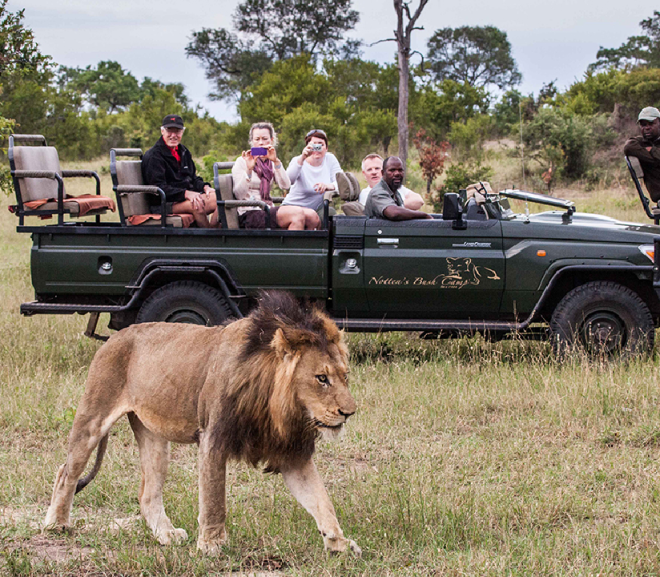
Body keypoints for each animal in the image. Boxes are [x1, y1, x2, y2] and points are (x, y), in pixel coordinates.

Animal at [43, 292, 360, 552]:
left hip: (154, 435)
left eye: (344, 376)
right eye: (321, 378)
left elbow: (321, 499)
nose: (350, 412)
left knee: (148, 493)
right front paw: (211, 545)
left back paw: (166, 534)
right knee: (66, 473)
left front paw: (339, 542)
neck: (275, 405)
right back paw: (56, 524)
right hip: (93, 417)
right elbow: (214, 498)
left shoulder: (292, 452)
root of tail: (116, 336)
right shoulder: (213, 437)